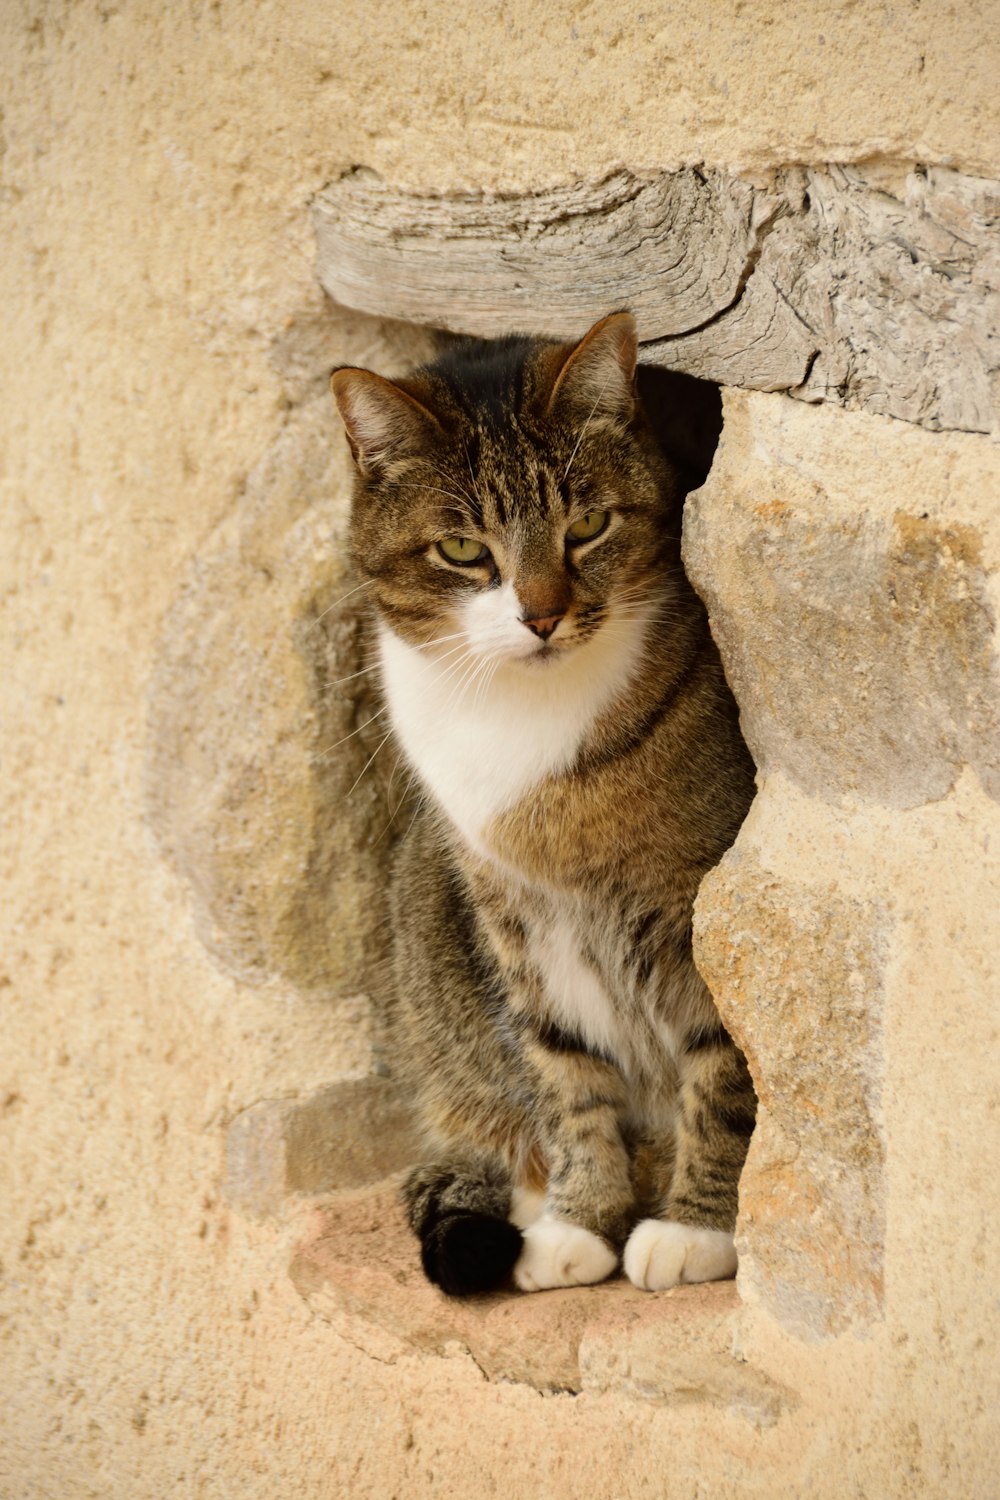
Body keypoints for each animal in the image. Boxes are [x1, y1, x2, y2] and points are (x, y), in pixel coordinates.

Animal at [332, 310, 755, 1296]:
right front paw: (581, 1220)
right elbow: (565, 1073)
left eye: (588, 526)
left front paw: (698, 1227)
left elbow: (725, 1065)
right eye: (462, 550)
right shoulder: (518, 917)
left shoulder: (703, 901)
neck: (521, 718)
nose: (542, 615)